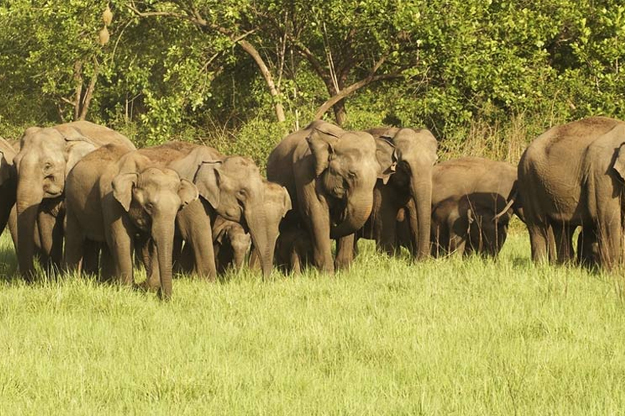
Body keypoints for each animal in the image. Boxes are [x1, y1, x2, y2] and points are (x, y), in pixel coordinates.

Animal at [64, 144, 197, 300]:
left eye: (178, 207)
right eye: (149, 205)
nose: (164, 298)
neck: (141, 169)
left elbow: (149, 245)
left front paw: (147, 286)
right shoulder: (111, 201)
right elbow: (122, 241)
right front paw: (129, 291)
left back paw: (107, 282)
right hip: (72, 203)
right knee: (75, 239)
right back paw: (71, 281)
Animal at [266, 120, 392, 274]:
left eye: (376, 178)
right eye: (351, 174)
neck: (335, 138)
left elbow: (346, 217)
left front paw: (344, 272)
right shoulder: (305, 172)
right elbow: (316, 214)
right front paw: (327, 274)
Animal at [356, 127, 438, 258]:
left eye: (434, 163)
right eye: (405, 164)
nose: (422, 259)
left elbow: (414, 215)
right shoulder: (380, 182)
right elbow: (384, 215)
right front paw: (389, 258)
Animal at [516, 115, 625, 268]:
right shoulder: (603, 176)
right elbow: (609, 222)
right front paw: (614, 273)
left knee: (563, 227)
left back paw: (564, 267)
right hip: (528, 181)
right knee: (538, 226)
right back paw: (541, 266)